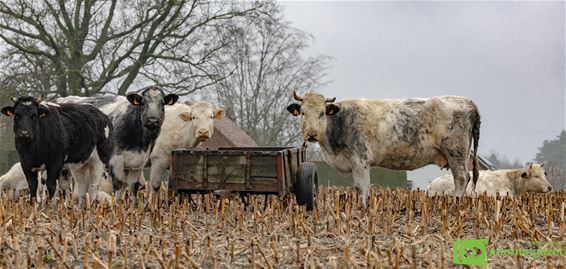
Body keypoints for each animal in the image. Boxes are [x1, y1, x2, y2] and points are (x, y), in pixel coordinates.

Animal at [288, 89, 484, 203]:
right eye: (303, 113)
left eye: (322, 113)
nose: (311, 134)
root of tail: (467, 101)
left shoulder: (360, 159)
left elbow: (361, 186)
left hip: (455, 152)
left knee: (461, 177)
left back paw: (455, 202)